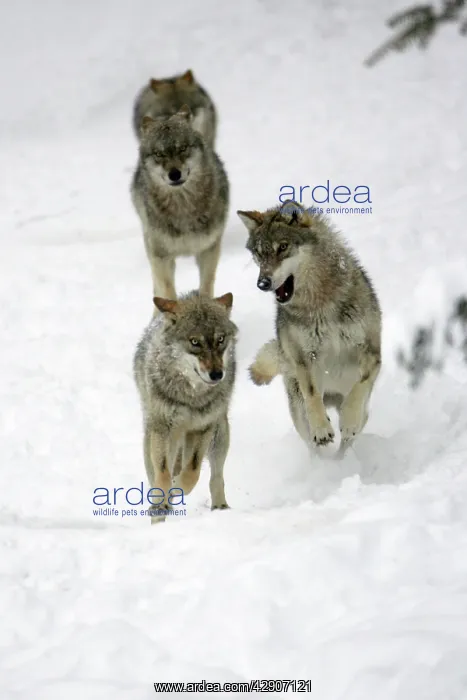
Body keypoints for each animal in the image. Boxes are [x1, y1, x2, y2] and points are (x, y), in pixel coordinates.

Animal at [131, 104, 229, 302]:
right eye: (159, 154)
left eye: (182, 148)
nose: (174, 174)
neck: (183, 207)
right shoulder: (161, 257)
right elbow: (167, 293)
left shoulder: (209, 250)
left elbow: (206, 287)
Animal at [133, 291, 237, 522]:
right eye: (195, 342)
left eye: (220, 339)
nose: (217, 374)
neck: (191, 397)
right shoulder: (163, 429)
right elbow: (163, 475)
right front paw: (162, 503)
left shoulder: (201, 429)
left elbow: (192, 473)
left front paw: (176, 488)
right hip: (153, 439)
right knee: (156, 477)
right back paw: (159, 514)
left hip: (219, 435)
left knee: (216, 476)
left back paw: (220, 508)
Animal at [237, 201, 381, 455]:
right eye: (259, 254)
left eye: (283, 247)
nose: (262, 283)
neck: (320, 304)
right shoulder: (305, 358)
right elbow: (312, 394)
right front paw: (322, 429)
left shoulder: (372, 353)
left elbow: (360, 385)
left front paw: (348, 421)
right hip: (298, 410)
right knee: (312, 442)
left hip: (362, 413)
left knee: (348, 439)